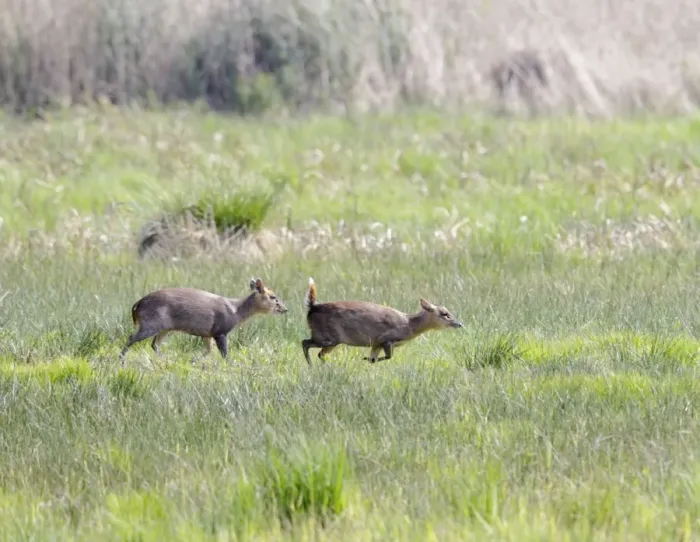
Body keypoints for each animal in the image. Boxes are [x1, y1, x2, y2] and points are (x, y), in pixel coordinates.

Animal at [120, 277, 287, 363]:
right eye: (273, 297)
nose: (285, 309)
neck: (236, 312)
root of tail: (137, 305)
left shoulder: (207, 334)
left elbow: (208, 350)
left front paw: (193, 361)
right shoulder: (220, 331)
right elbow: (224, 353)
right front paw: (231, 365)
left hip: (164, 328)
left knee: (154, 344)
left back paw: (167, 360)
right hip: (151, 324)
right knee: (131, 338)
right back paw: (121, 360)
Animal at [301, 277, 463, 365]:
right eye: (444, 314)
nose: (459, 324)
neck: (410, 325)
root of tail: (312, 307)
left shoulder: (376, 344)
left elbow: (374, 359)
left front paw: (366, 359)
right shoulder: (387, 339)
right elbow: (388, 356)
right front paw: (365, 358)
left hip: (331, 341)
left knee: (319, 353)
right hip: (328, 337)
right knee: (305, 343)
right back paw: (311, 365)